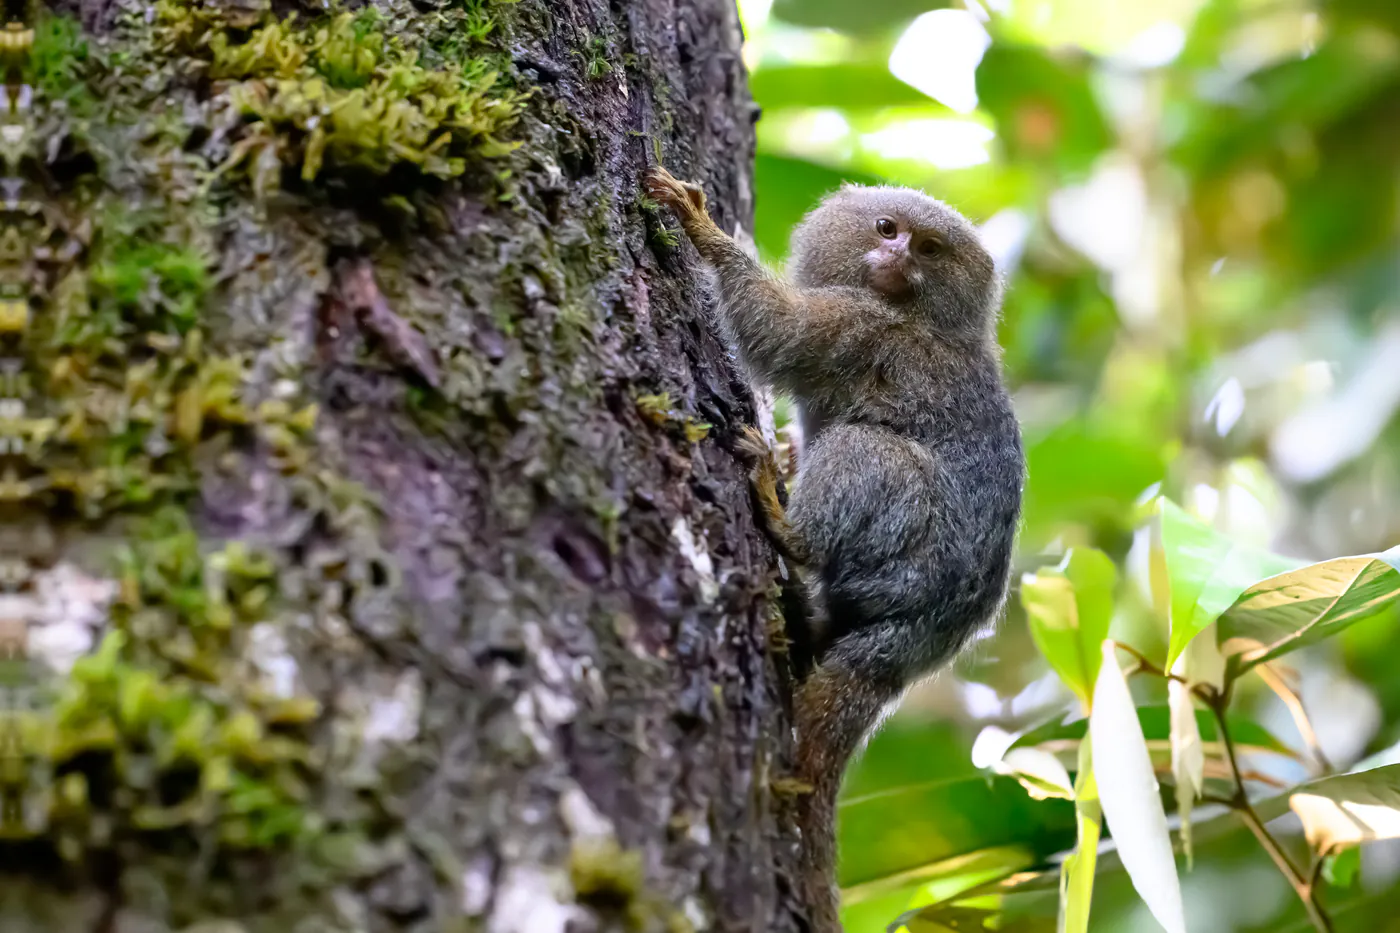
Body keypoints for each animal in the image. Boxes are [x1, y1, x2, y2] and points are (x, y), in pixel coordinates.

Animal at [644, 166, 1025, 932]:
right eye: (887, 229)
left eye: (929, 249)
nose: (899, 256)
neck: (913, 310)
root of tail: (927, 633)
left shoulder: (863, 328)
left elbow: (779, 333)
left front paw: (705, 235)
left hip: (911, 546)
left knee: (867, 448)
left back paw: (785, 520)